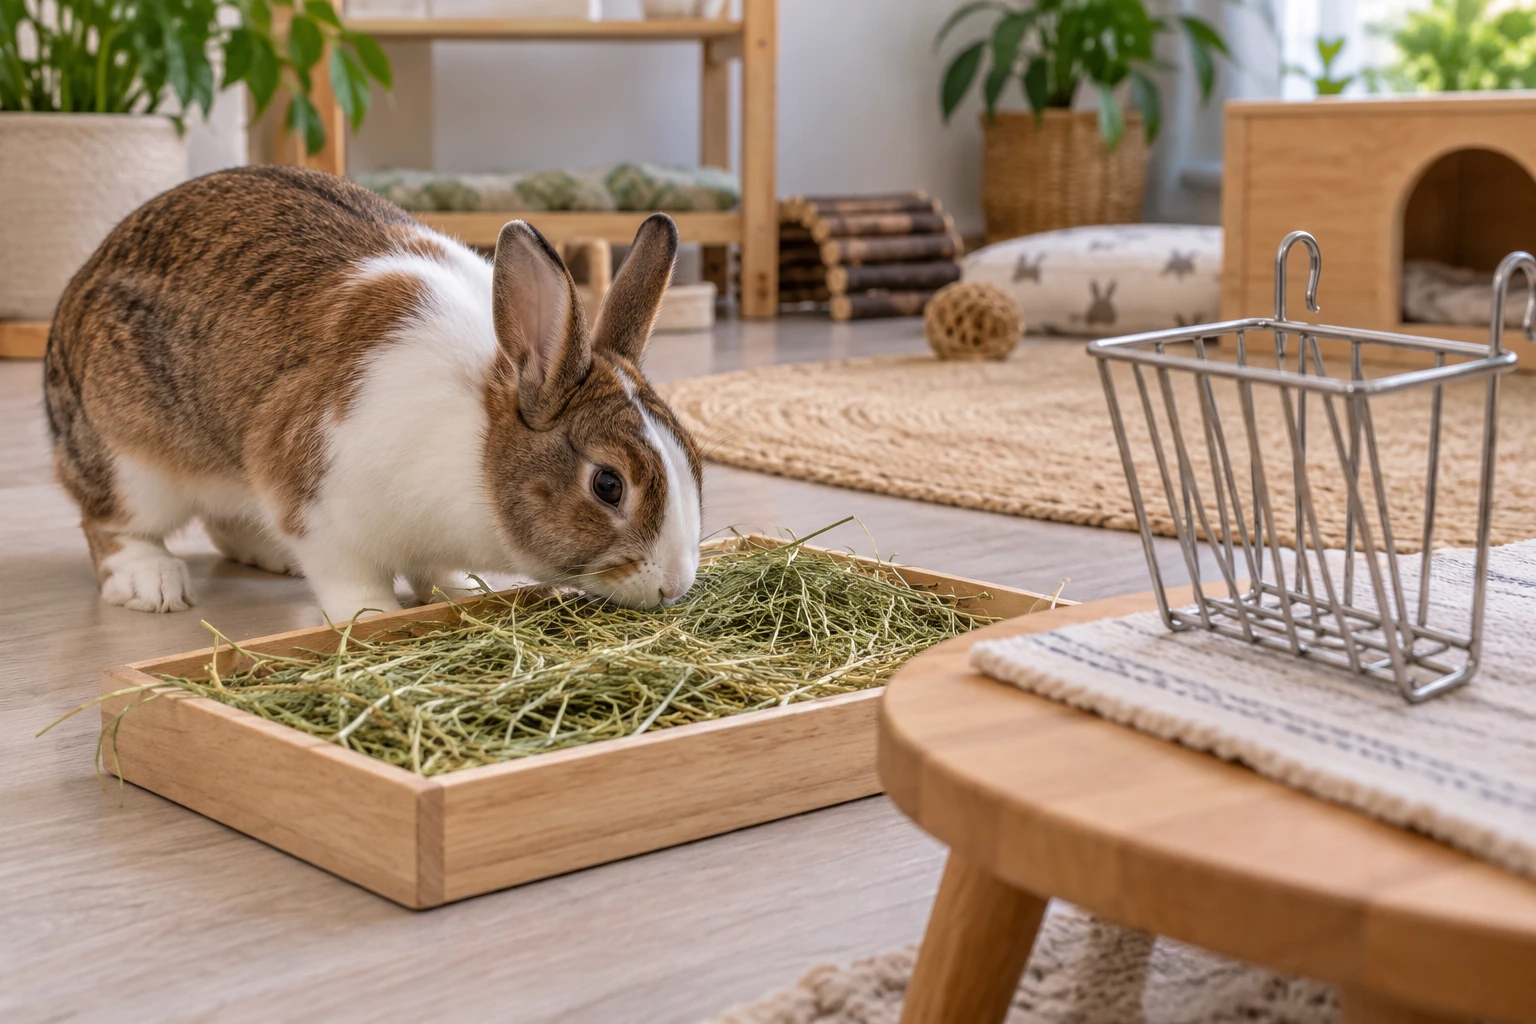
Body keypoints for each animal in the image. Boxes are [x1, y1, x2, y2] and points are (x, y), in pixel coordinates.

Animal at [43, 165, 703, 620]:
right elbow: (349, 580)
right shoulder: (314, 504)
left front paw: (462, 591)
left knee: (222, 523)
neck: (478, 444)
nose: (672, 585)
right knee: (110, 525)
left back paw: (272, 557)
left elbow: (437, 569)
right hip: (132, 464)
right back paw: (153, 584)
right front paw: (372, 618)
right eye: (608, 485)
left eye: (693, 457)